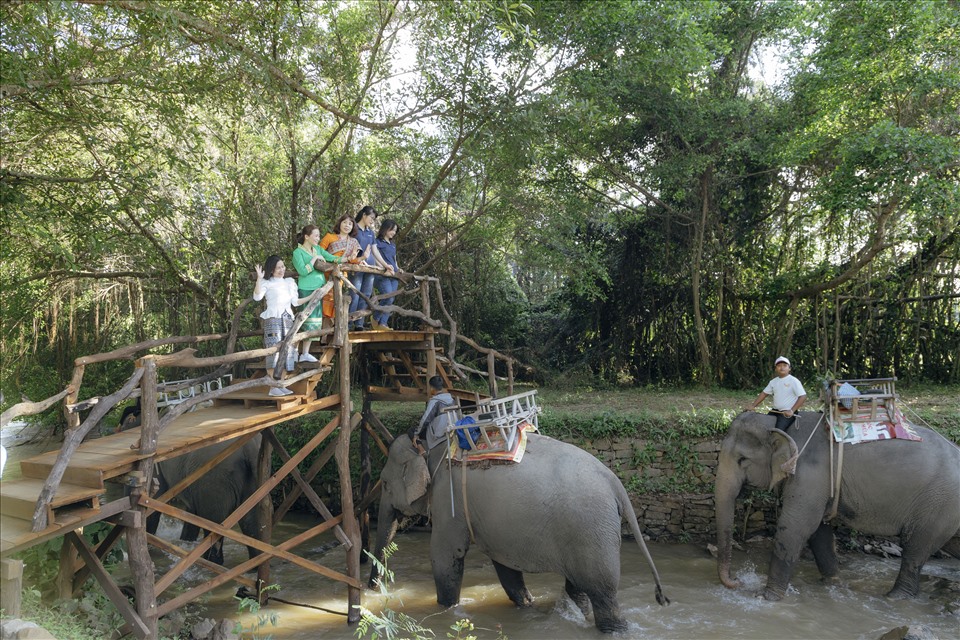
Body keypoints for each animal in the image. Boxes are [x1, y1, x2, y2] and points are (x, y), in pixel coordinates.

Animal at [368, 432, 668, 632]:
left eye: (385, 484)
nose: (372, 589)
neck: (429, 449)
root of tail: (615, 483)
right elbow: (505, 566)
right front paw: (527, 605)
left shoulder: (447, 499)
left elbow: (445, 555)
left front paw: (446, 610)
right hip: (589, 533)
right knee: (579, 587)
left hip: (592, 531)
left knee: (603, 594)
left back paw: (614, 629)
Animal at [716, 410, 956, 600]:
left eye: (742, 460)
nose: (737, 580)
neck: (779, 424)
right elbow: (819, 532)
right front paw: (831, 584)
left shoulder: (810, 473)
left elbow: (796, 526)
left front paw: (766, 597)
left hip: (937, 505)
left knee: (915, 549)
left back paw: (894, 597)